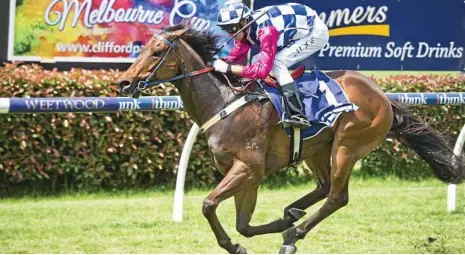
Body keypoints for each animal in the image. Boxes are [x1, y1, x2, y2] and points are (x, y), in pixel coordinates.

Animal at [117, 23, 464, 253]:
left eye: (157, 52)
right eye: (142, 48)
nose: (124, 83)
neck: (224, 103)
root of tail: (381, 95)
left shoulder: (248, 168)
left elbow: (208, 204)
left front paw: (234, 244)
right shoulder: (248, 175)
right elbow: (243, 224)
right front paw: (267, 229)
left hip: (347, 145)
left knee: (336, 196)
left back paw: (293, 235)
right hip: (317, 149)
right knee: (324, 187)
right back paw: (291, 215)